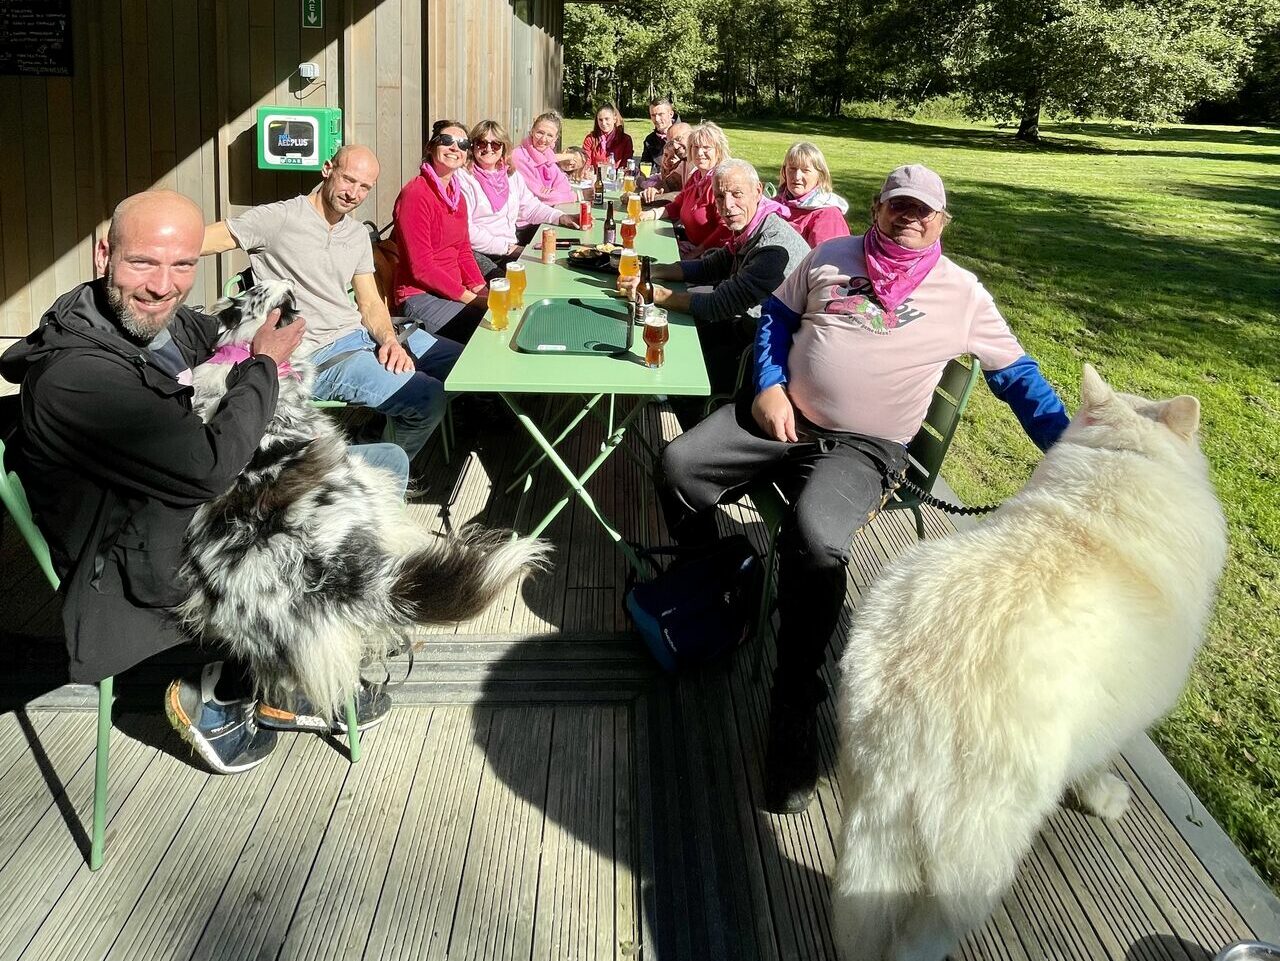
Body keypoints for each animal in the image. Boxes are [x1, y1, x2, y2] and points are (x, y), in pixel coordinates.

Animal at [834, 363, 1223, 957]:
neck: (1122, 463)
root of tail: (903, 702)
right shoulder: (1118, 716)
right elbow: (1098, 765)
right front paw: (1105, 800)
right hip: (978, 856)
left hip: (871, 817)